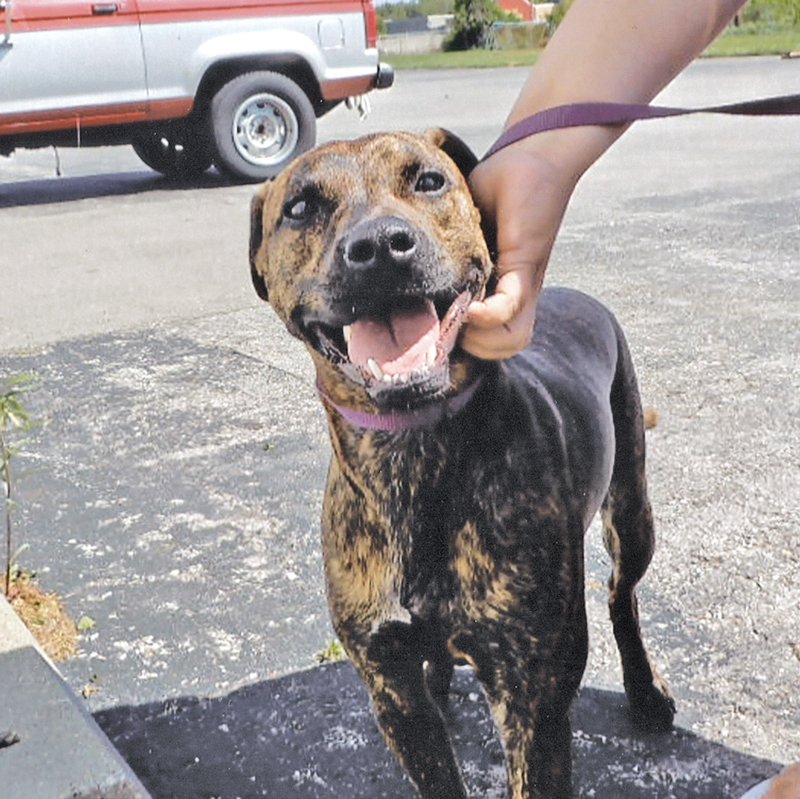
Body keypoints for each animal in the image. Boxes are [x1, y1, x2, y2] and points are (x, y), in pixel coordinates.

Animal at [250, 131, 676, 799]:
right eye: (298, 208)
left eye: (429, 180)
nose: (379, 246)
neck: (410, 456)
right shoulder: (391, 691)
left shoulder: (534, 699)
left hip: (631, 512)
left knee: (621, 593)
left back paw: (644, 689)